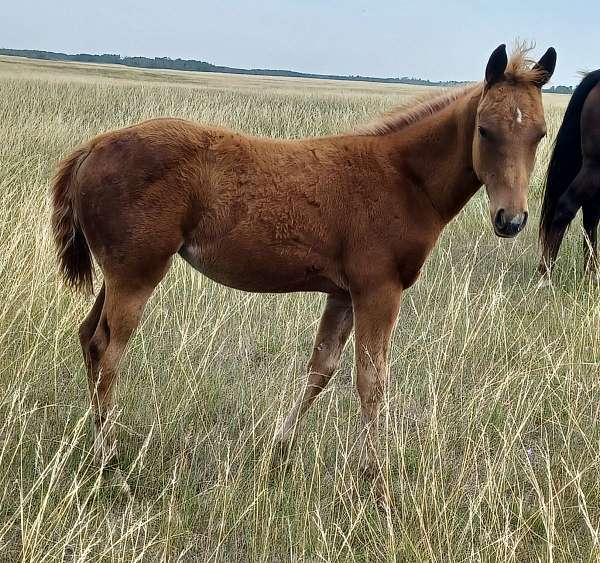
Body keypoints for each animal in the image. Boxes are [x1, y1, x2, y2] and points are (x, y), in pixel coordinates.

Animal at [51, 44, 556, 486]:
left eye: (540, 135)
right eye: (485, 130)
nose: (511, 220)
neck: (403, 179)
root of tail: (93, 147)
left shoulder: (343, 293)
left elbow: (322, 368)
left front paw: (279, 447)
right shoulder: (379, 290)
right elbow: (371, 380)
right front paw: (373, 476)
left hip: (118, 274)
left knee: (87, 337)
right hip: (137, 275)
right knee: (107, 351)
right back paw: (109, 459)